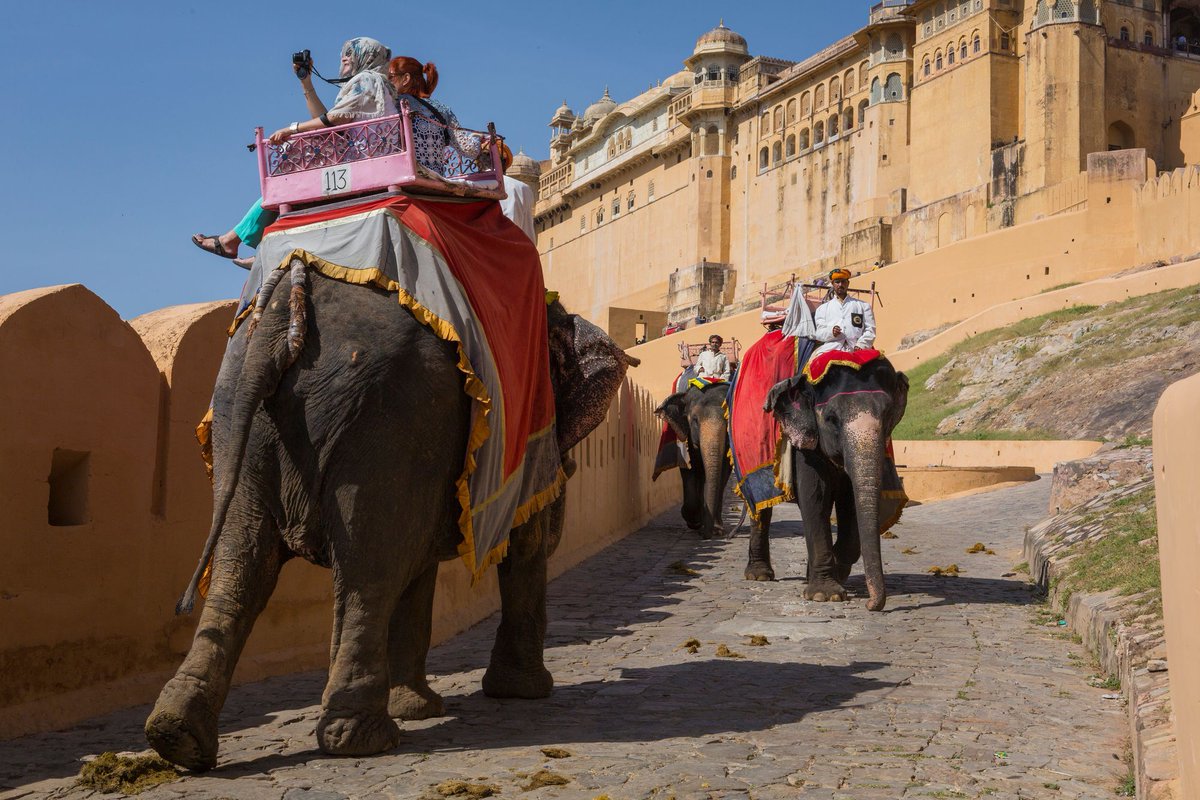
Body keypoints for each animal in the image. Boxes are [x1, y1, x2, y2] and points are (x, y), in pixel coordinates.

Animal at [144, 266, 635, 771]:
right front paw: (523, 694)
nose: (570, 468)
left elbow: (422, 566)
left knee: (243, 570)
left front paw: (418, 708)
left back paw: (178, 736)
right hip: (384, 422)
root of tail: (284, 310)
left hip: (242, 425)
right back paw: (363, 740)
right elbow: (521, 547)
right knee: (369, 572)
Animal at [654, 381, 732, 539]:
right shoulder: (686, 436)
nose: (705, 535)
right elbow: (688, 468)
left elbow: (723, 472)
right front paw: (694, 521)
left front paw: (717, 530)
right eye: (695, 420)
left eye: (728, 419)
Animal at [750, 357, 908, 611]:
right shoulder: (805, 441)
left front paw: (837, 575)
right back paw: (759, 574)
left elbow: (851, 501)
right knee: (760, 505)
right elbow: (815, 496)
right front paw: (825, 595)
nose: (871, 605)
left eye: (886, 416)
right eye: (831, 419)